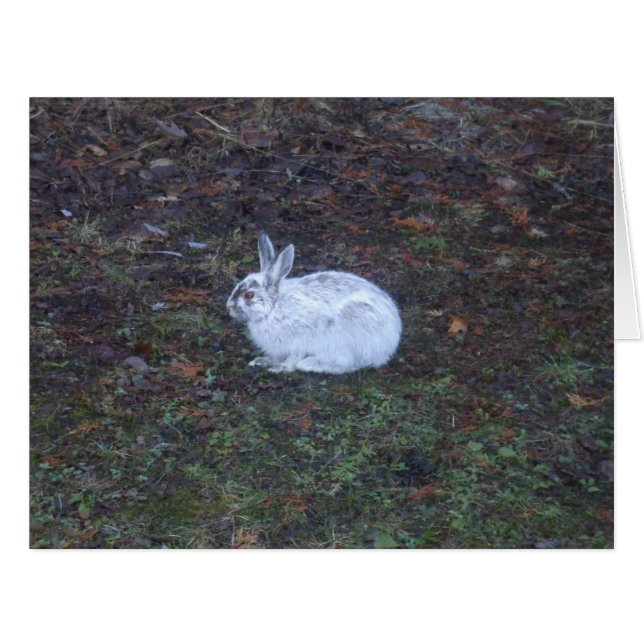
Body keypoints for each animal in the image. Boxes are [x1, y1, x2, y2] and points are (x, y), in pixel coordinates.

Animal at [226, 233, 402, 374]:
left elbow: (293, 357)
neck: (274, 306)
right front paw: (261, 361)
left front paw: (281, 368)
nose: (229, 307)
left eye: (249, 295)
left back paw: (311, 364)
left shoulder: (299, 340)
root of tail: (392, 339)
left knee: (350, 364)